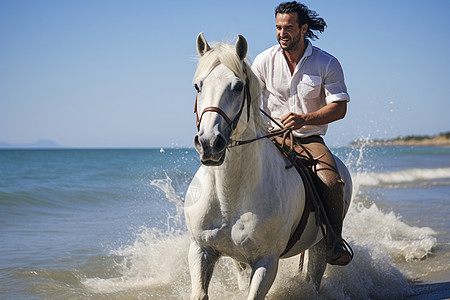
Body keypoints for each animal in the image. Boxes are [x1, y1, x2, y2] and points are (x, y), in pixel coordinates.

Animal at [184, 33, 352, 300]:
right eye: (198, 86)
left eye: (238, 86)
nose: (210, 143)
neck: (230, 193)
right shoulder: (201, 250)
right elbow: (200, 293)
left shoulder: (267, 261)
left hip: (319, 246)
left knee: (315, 276)